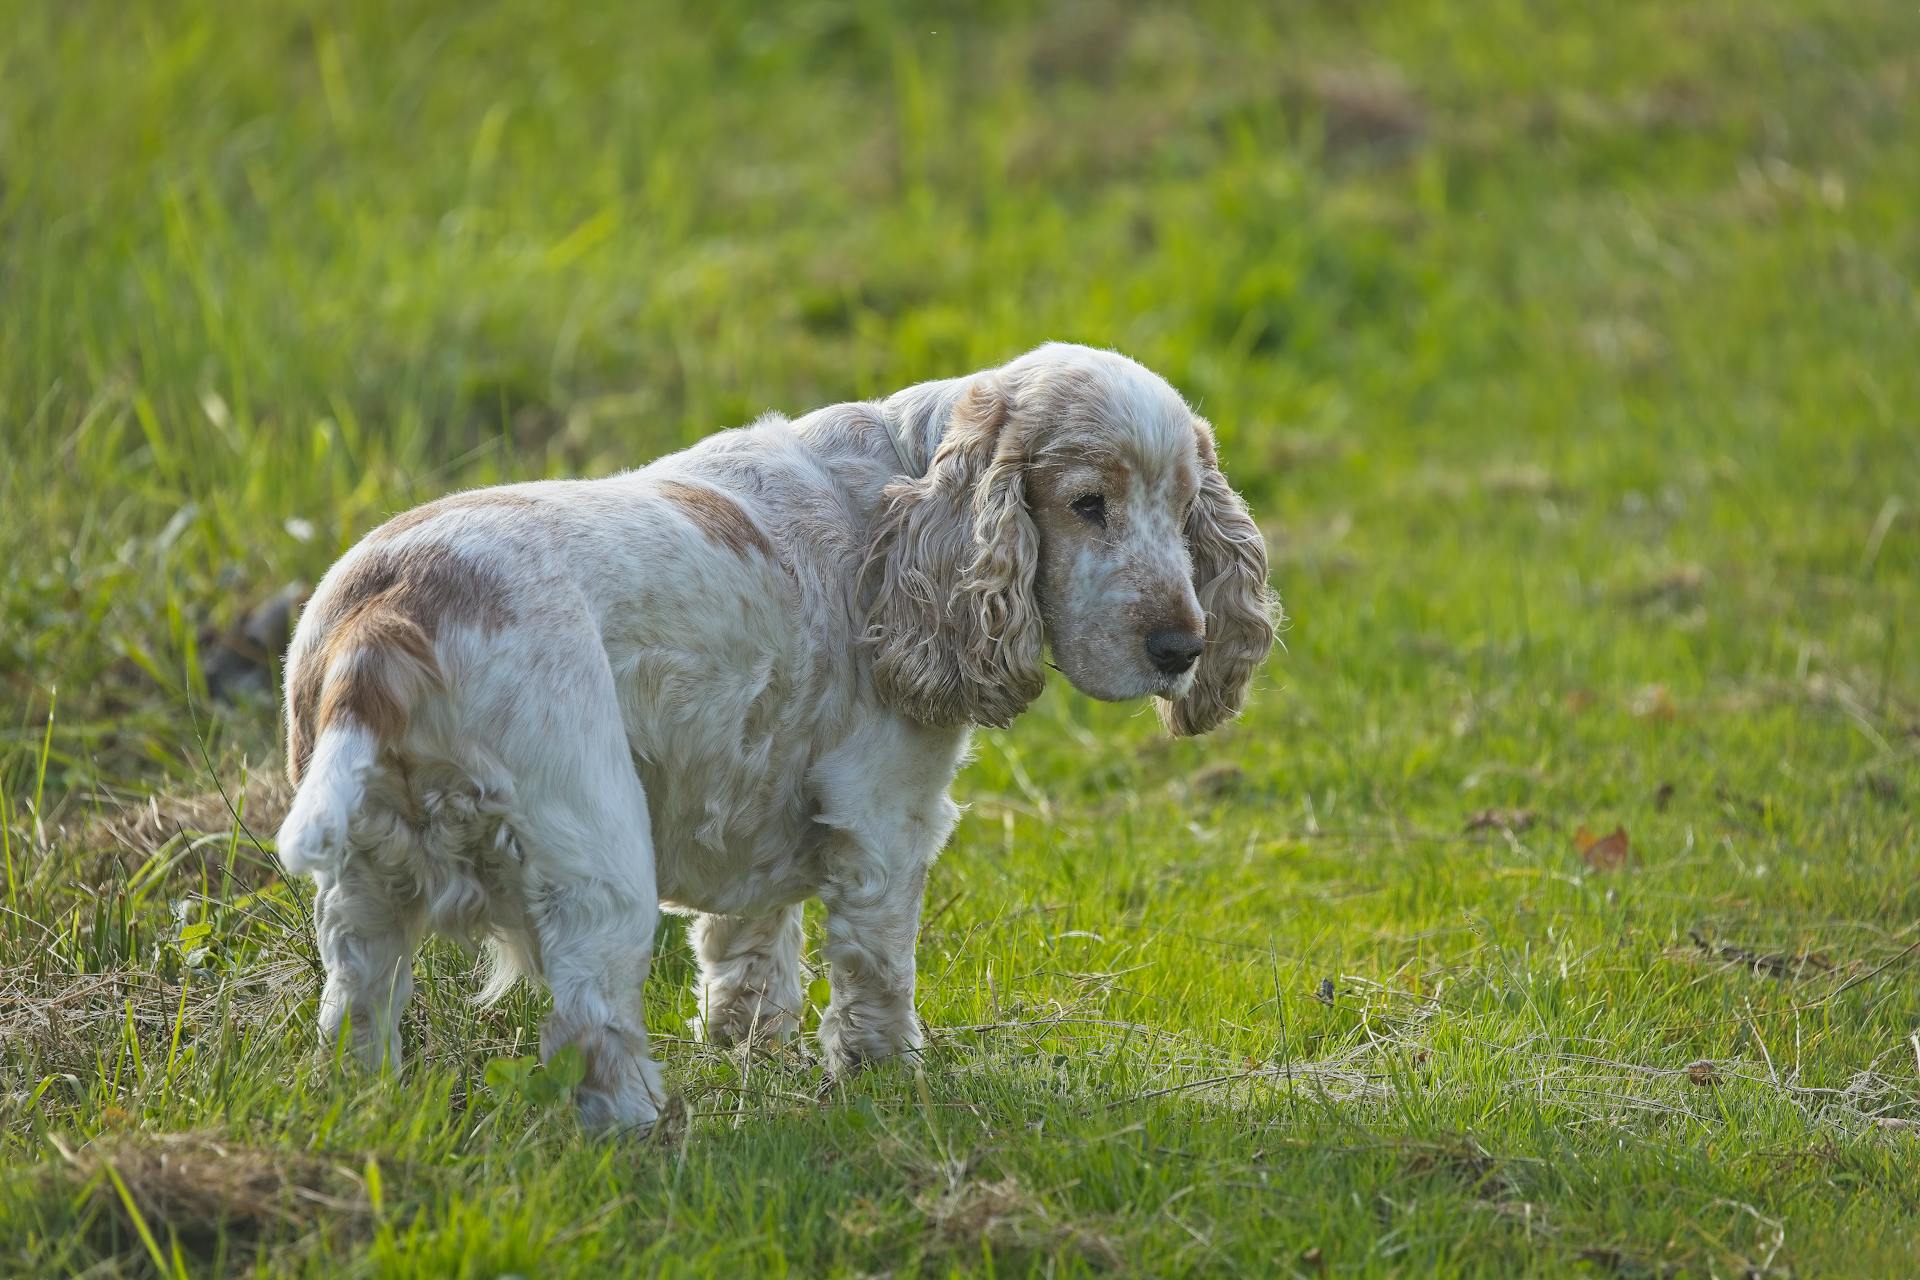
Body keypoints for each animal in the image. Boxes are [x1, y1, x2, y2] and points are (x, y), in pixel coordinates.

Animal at [274, 343, 1274, 1128]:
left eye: (1184, 508)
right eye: (1086, 503)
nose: (1180, 649)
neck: (907, 496)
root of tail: (389, 619)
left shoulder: (747, 789)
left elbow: (747, 945)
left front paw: (749, 1049)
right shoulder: (885, 816)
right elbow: (878, 970)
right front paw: (888, 1082)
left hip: (363, 887)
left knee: (354, 1008)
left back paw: (368, 1104)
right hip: (596, 862)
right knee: (592, 1027)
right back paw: (651, 1132)